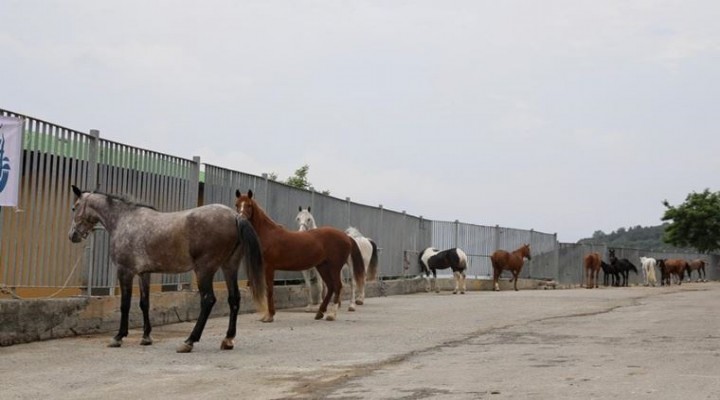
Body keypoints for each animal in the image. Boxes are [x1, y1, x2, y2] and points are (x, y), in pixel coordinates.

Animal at [69, 186, 266, 352]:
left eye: (75, 207)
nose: (73, 235)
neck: (125, 220)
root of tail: (235, 216)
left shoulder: (125, 271)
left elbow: (125, 305)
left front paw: (118, 337)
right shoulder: (144, 273)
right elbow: (144, 303)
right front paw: (146, 337)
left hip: (204, 270)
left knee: (208, 300)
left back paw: (189, 341)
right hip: (229, 267)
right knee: (234, 299)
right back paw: (227, 340)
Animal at [235, 189, 362, 324]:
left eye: (249, 205)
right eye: (236, 204)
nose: (241, 219)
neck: (268, 234)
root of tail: (346, 236)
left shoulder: (269, 267)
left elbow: (269, 290)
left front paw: (270, 316)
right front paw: (267, 315)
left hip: (334, 268)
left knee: (337, 286)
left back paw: (331, 315)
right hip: (323, 267)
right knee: (331, 287)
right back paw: (319, 313)